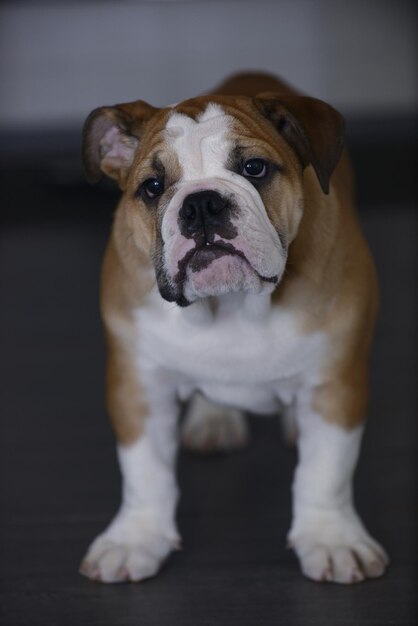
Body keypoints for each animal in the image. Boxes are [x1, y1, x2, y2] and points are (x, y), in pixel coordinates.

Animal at [79, 72, 388, 580]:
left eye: (255, 168)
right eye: (153, 186)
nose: (202, 204)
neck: (232, 306)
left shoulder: (336, 384)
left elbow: (326, 471)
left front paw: (332, 538)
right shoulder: (139, 386)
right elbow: (145, 470)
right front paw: (136, 538)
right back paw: (213, 419)